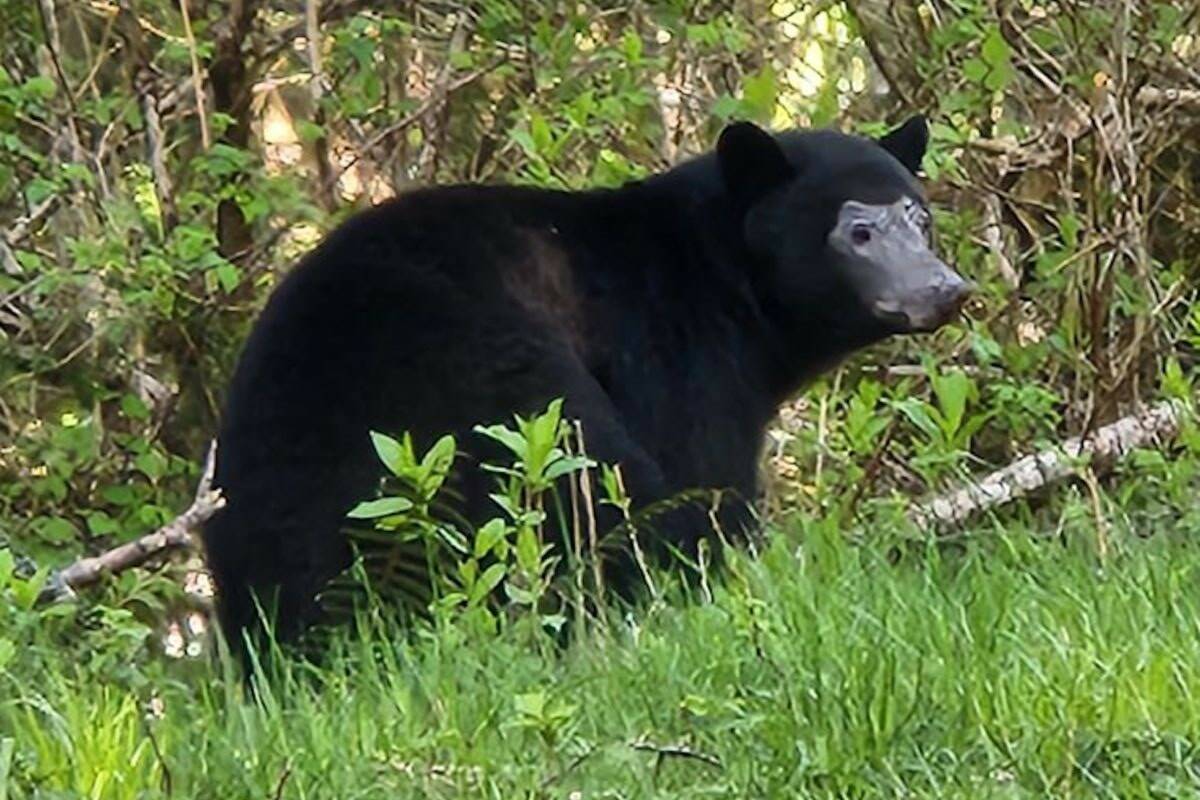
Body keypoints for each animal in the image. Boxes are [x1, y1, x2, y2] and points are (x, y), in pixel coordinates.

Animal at [202, 115, 971, 658]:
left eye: (920, 217)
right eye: (858, 230)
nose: (945, 289)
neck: (718, 273)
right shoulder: (672, 348)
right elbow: (703, 481)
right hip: (481, 399)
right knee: (597, 483)